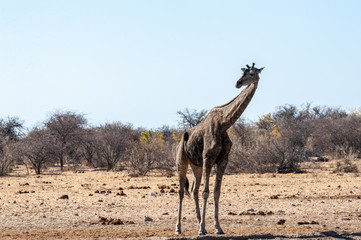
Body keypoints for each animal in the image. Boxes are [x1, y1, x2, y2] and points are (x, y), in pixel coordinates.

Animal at [175, 63, 262, 234]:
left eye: (252, 73)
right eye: (244, 72)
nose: (238, 83)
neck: (223, 124)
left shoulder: (223, 160)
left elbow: (216, 192)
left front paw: (217, 227)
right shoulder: (208, 158)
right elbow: (206, 192)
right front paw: (202, 229)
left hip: (196, 165)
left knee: (194, 190)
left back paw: (198, 221)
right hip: (182, 161)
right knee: (182, 191)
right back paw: (179, 227)